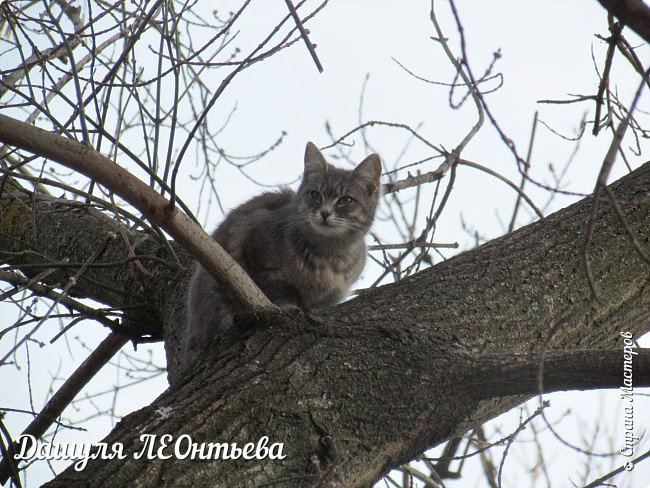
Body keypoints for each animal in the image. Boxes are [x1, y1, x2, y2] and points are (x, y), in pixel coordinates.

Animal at [182, 141, 380, 366]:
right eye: (315, 194)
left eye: (345, 200)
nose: (325, 212)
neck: (328, 255)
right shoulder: (258, 252)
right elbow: (279, 289)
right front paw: (290, 306)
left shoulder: (332, 296)